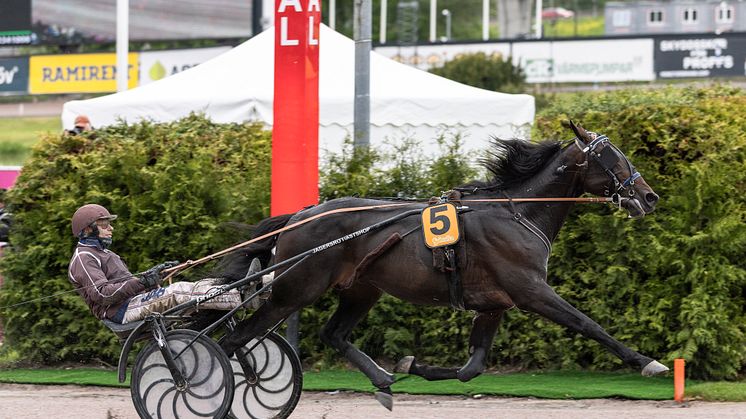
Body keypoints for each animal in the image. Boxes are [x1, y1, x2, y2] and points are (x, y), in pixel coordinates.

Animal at [218, 122, 664, 410]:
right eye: (611, 157)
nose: (649, 196)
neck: (517, 213)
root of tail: (299, 216)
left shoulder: (494, 304)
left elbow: (472, 368)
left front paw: (412, 365)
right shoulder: (531, 291)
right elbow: (589, 324)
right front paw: (647, 362)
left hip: (362, 289)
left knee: (334, 334)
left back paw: (382, 381)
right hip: (294, 290)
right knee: (233, 340)